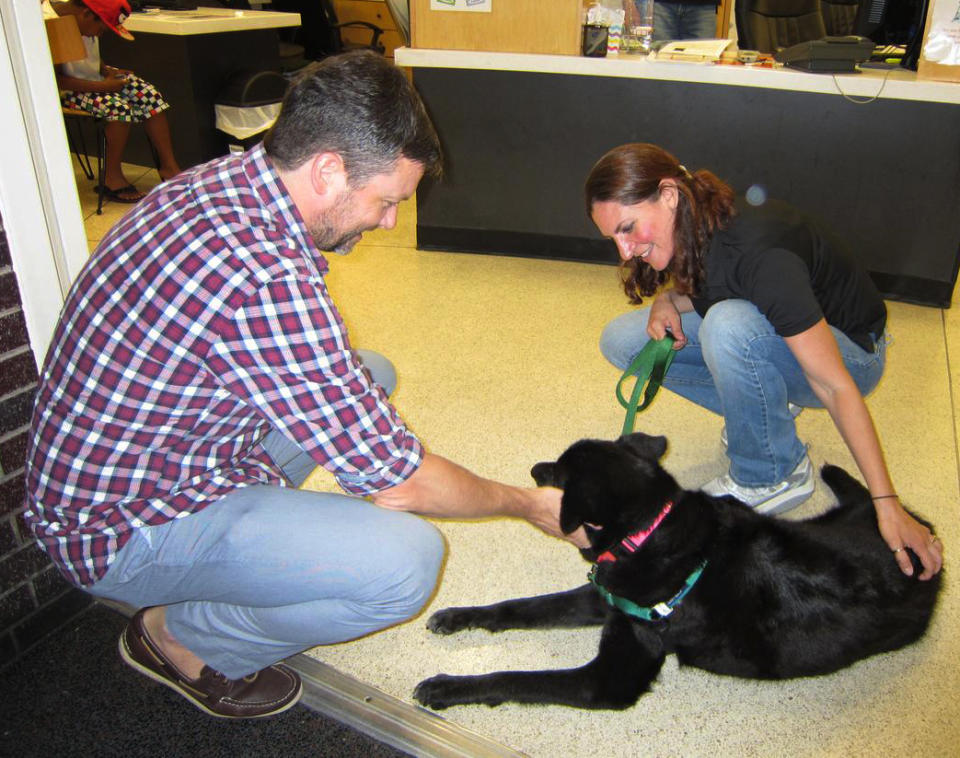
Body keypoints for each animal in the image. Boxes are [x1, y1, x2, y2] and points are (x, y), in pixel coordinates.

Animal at [414, 434, 944, 712]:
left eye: (558, 472)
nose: (531, 468)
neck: (650, 533)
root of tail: (922, 532)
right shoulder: (605, 600)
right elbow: (519, 607)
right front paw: (459, 616)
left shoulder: (610, 678)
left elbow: (516, 677)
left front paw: (449, 686)